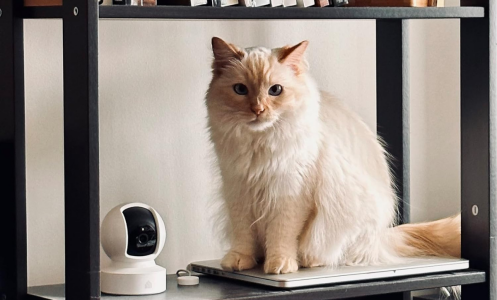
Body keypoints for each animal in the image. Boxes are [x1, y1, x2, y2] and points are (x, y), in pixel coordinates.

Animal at [203, 36, 460, 276]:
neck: (259, 144)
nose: (258, 110)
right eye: (240, 90)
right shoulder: (238, 191)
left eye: (275, 90)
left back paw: (309, 261)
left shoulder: (290, 193)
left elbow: (281, 235)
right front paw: (239, 261)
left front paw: (280, 265)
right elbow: (243, 235)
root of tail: (382, 238)